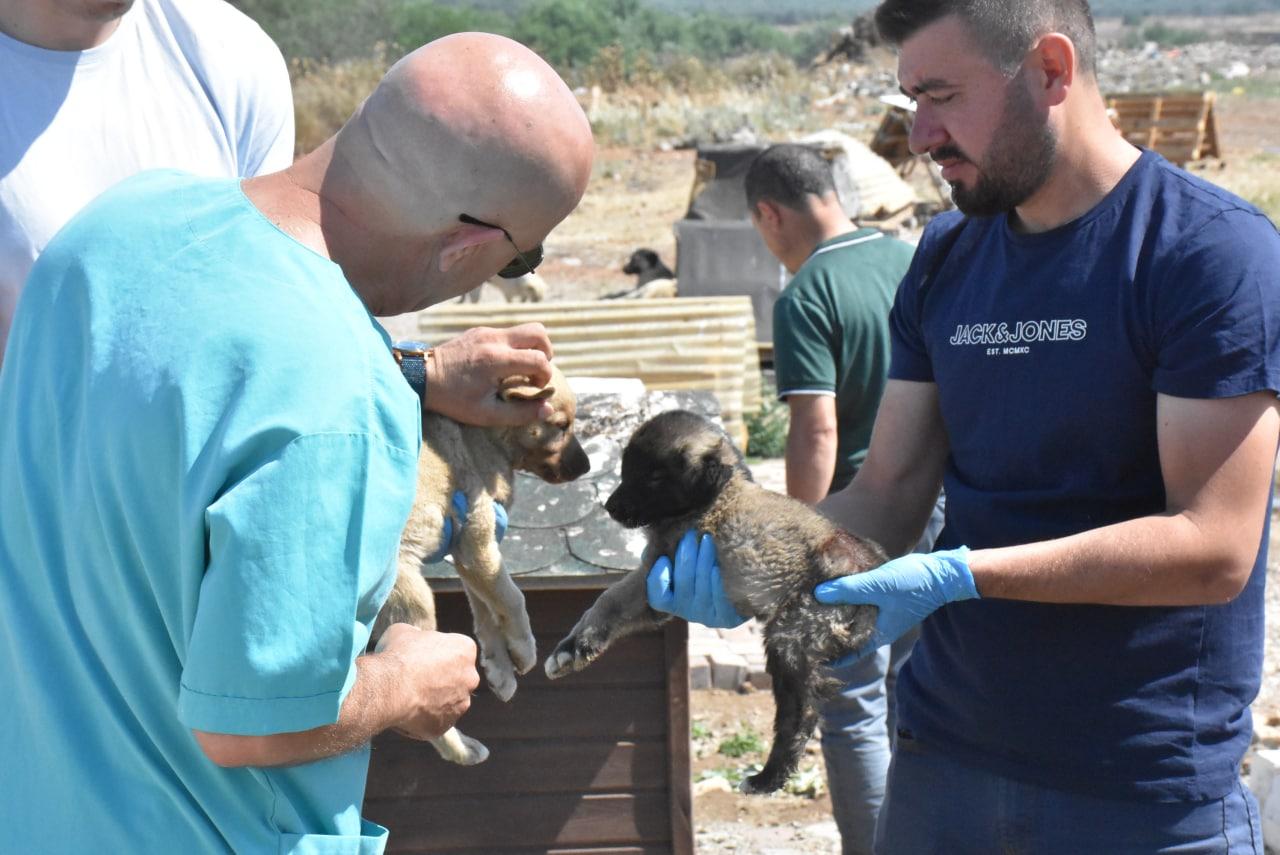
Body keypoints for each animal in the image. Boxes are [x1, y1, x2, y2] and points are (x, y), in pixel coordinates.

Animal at [371, 363, 588, 762]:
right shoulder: (477, 540)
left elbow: (486, 608)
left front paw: (500, 668)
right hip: (411, 599)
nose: (587, 466)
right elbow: (512, 599)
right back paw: (461, 749)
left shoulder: (468, 551)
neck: (482, 434)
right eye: (562, 425)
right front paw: (524, 648)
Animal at [545, 409, 885, 793]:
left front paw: (572, 649)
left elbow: (608, 599)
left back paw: (767, 776)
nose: (610, 507)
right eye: (627, 469)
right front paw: (574, 648)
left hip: (793, 633)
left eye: (655, 476)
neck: (716, 495)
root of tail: (868, 568)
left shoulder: (657, 570)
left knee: (801, 713)